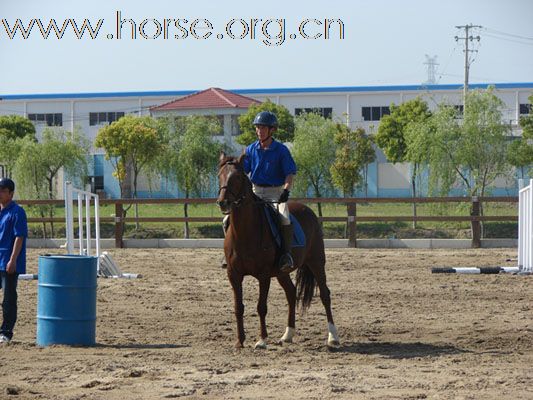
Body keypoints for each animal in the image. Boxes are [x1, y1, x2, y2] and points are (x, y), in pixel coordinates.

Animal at [214, 154, 338, 350]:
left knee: (325, 295)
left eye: (237, 177)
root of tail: (307, 210)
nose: (223, 202)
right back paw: (288, 334)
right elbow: (238, 307)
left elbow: (261, 307)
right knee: (291, 293)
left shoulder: (263, 275)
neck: (245, 232)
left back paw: (333, 336)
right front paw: (240, 341)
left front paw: (262, 340)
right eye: (220, 175)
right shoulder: (233, 274)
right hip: (282, 272)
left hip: (316, 262)